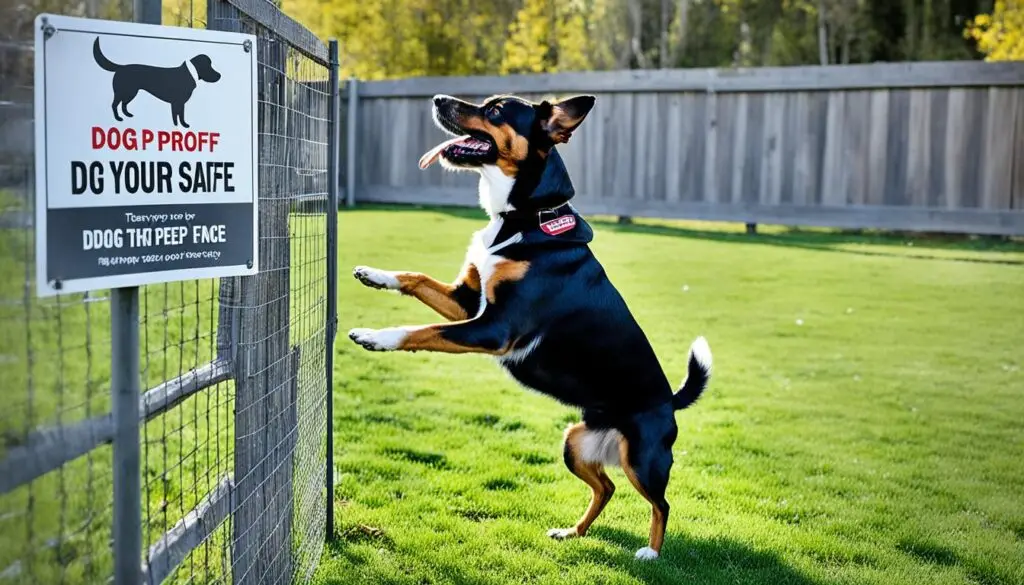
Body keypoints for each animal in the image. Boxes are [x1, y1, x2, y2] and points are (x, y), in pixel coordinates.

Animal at [346, 93, 712, 561]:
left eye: (496, 110)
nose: (438, 98)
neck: (525, 216)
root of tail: (670, 401)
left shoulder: (493, 329)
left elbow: (421, 331)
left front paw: (375, 336)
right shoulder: (467, 301)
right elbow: (416, 278)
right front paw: (374, 274)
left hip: (643, 459)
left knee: (660, 502)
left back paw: (650, 552)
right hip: (575, 443)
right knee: (606, 488)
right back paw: (572, 533)